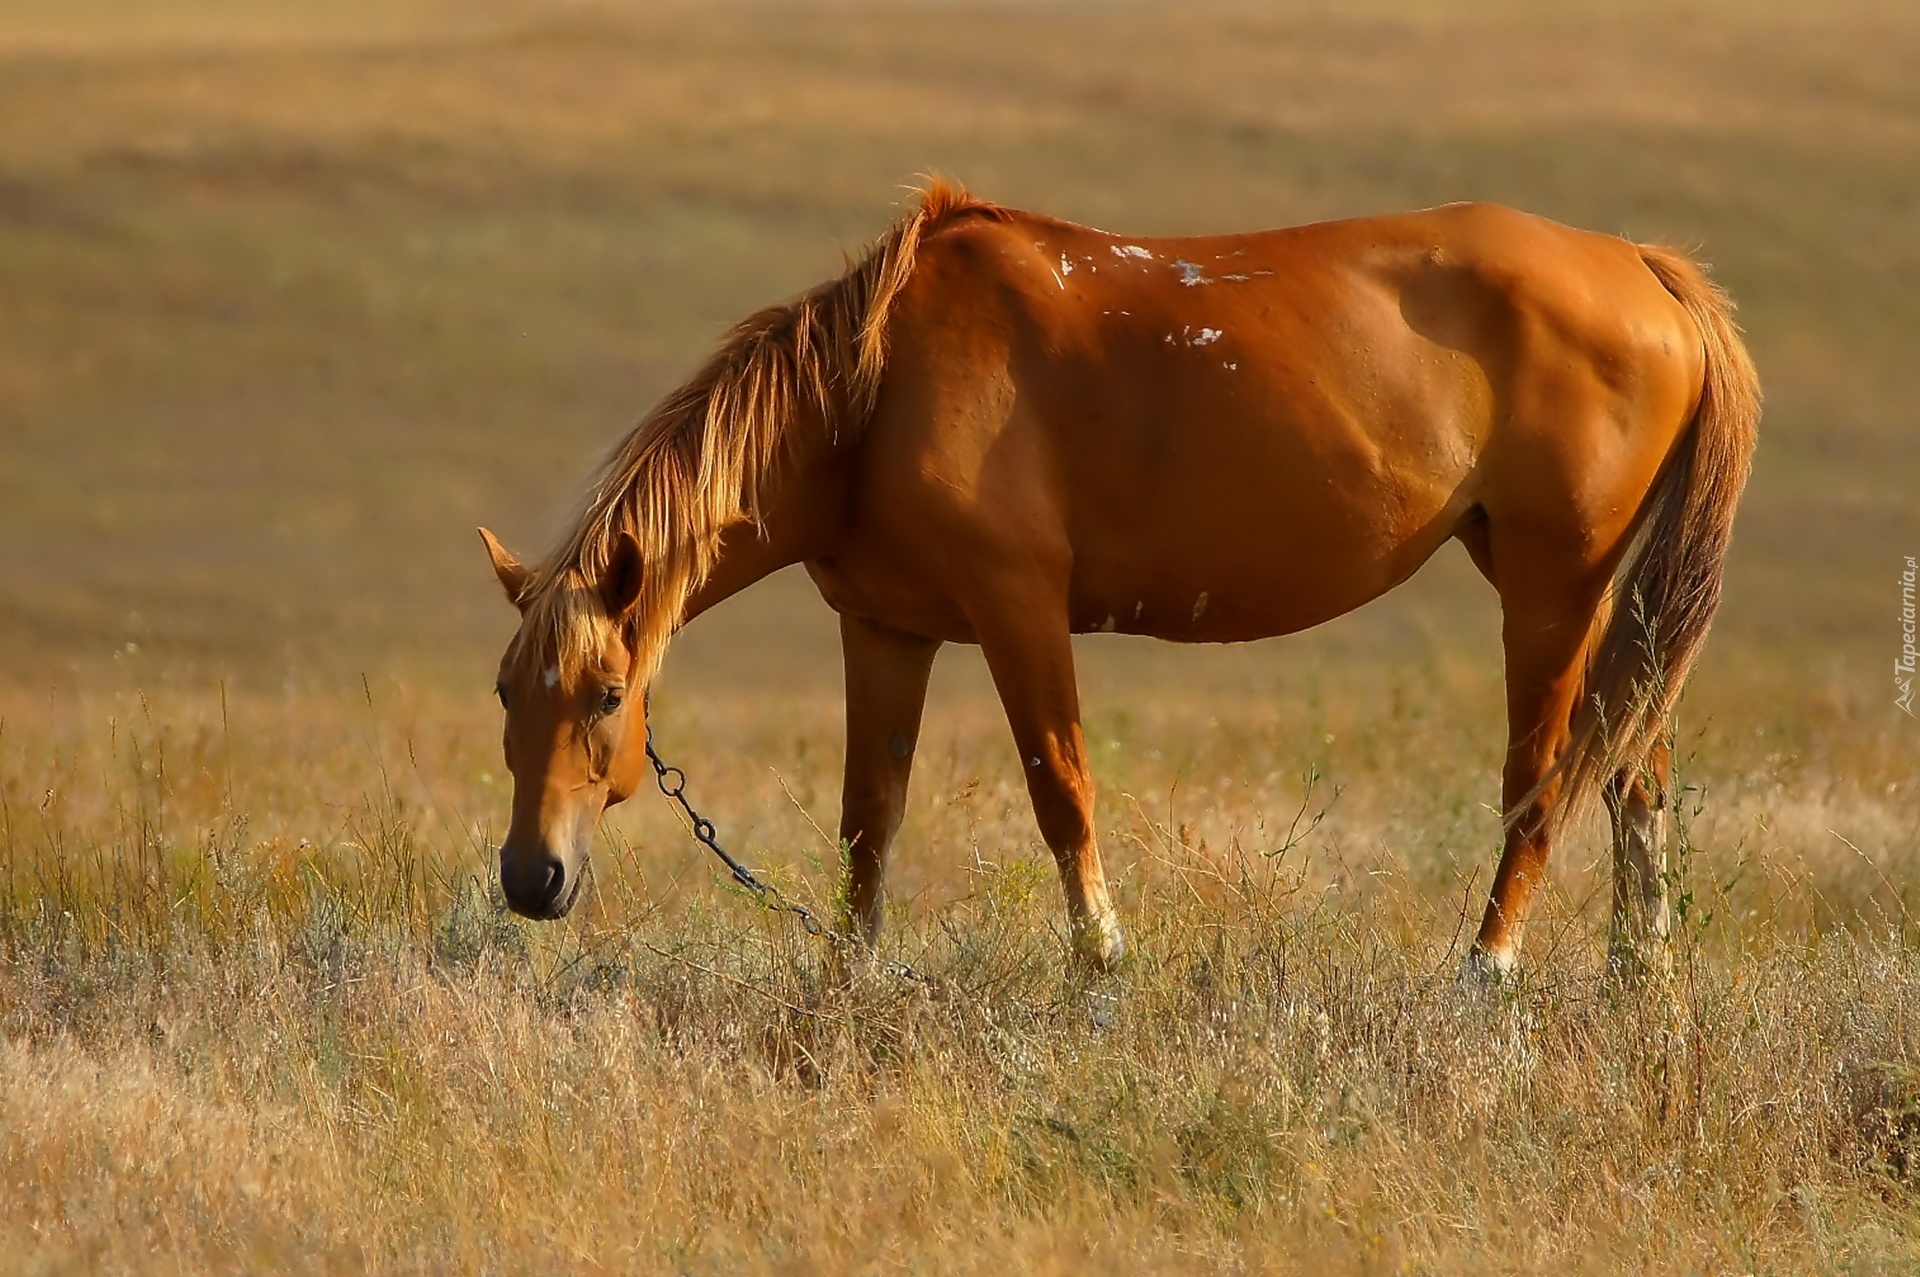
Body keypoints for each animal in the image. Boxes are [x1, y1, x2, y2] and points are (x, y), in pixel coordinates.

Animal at [480, 179, 1758, 975]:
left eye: (606, 694)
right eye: (505, 693)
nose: (532, 878)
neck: (875, 391)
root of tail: (1644, 271)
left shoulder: (1018, 611)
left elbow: (1064, 791)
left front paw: (1102, 969)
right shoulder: (887, 629)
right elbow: (868, 824)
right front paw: (846, 981)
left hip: (1551, 590)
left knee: (1545, 778)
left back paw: (1485, 977)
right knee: (1635, 767)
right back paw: (1638, 980)